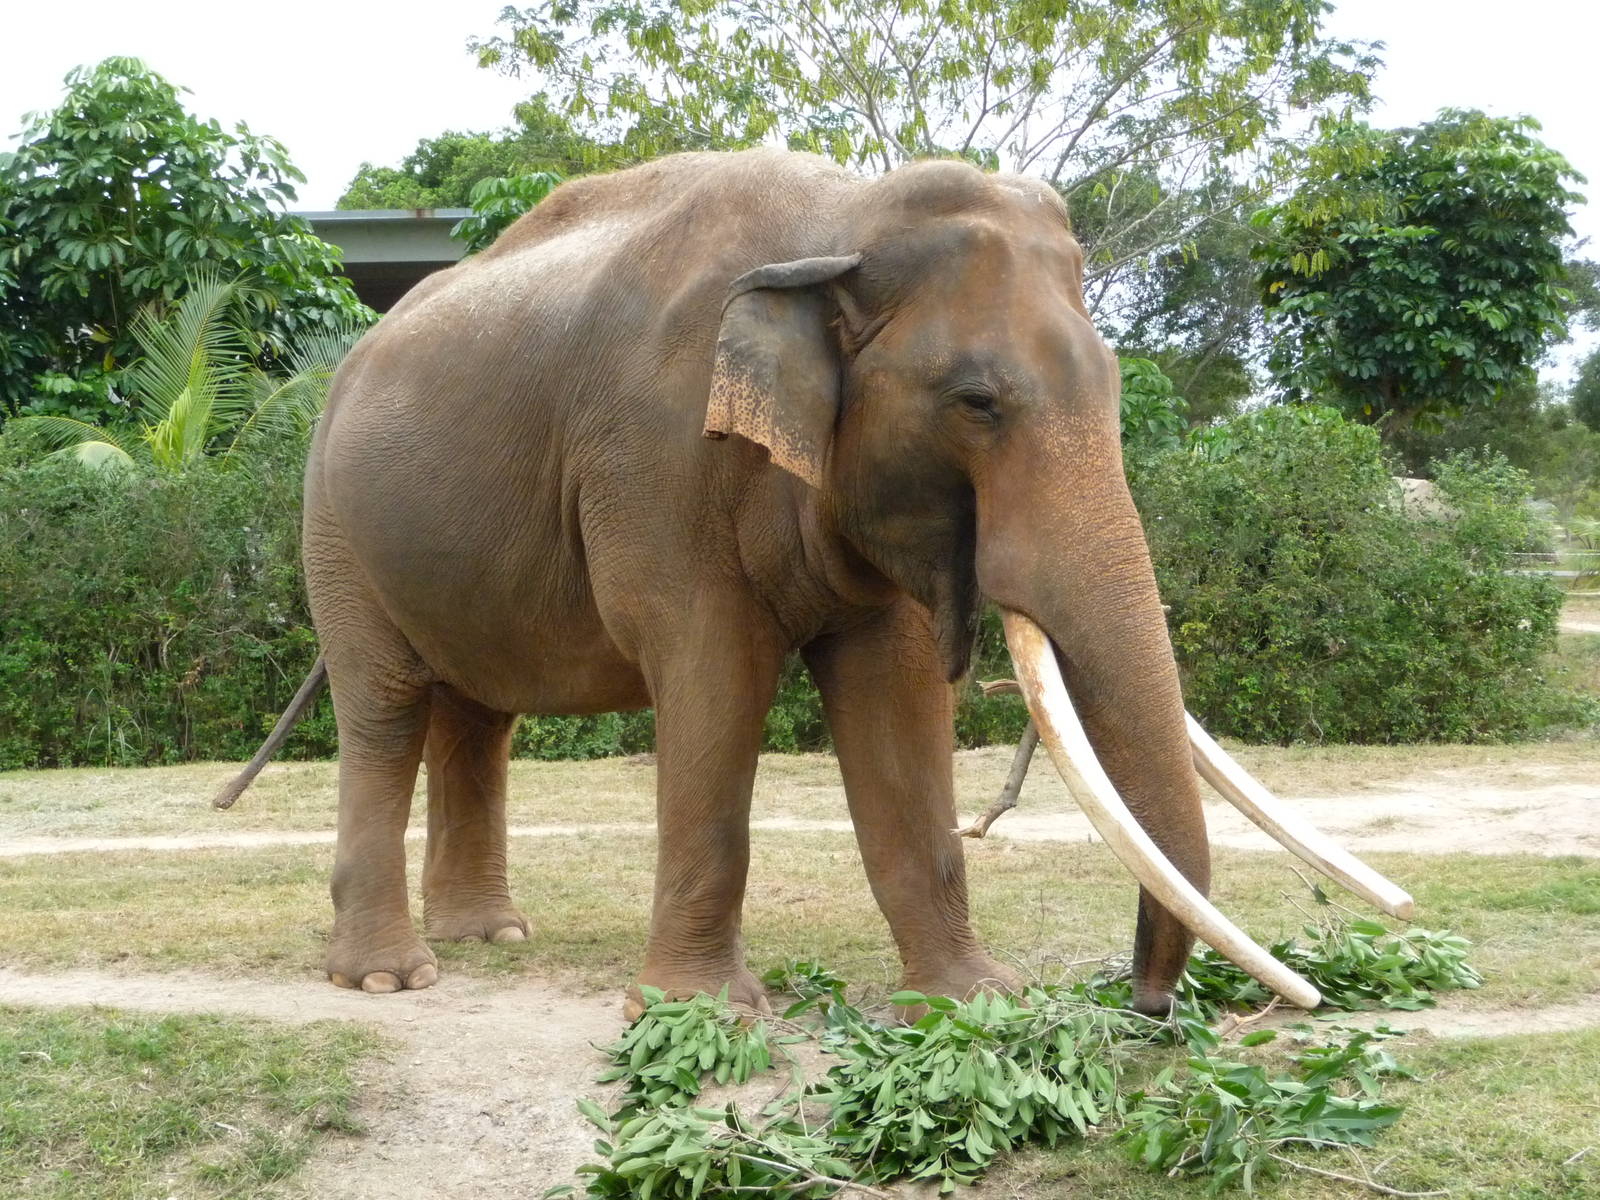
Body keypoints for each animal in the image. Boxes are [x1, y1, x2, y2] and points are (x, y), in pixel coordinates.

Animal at [217, 148, 1410, 1017]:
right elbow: (714, 678)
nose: (1149, 1005)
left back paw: (493, 936)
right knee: (387, 707)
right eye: (977, 404)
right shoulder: (655, 461)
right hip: (335, 528)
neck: (841, 217)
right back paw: (391, 976)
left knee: (478, 716)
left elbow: (895, 699)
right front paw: (697, 1014)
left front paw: (974, 1002)